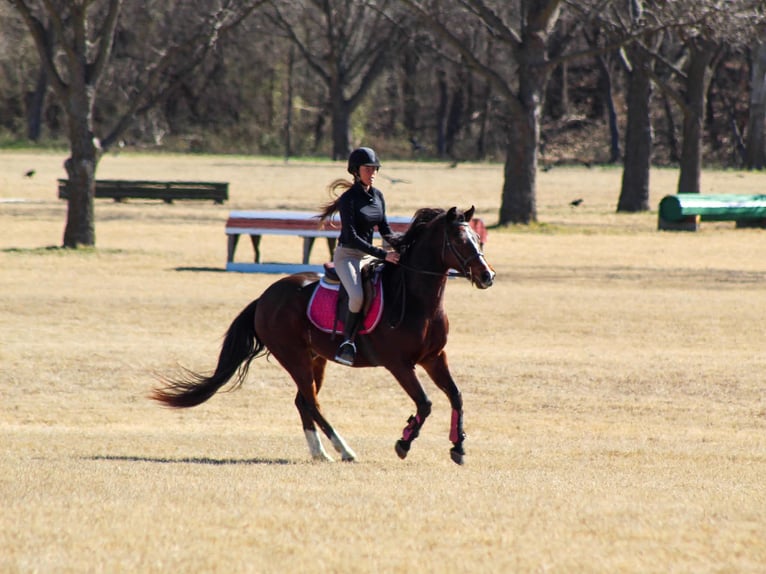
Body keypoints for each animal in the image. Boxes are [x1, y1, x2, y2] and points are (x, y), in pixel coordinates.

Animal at [152, 206, 495, 465]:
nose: (487, 276)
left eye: (479, 238)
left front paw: (458, 446)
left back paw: (320, 452)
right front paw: (404, 442)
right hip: (294, 357)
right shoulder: (399, 365)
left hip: (315, 358)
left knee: (303, 401)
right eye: (460, 241)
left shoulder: (434, 358)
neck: (416, 299)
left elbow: (456, 395)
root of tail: (265, 297)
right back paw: (345, 450)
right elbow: (425, 403)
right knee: (312, 402)